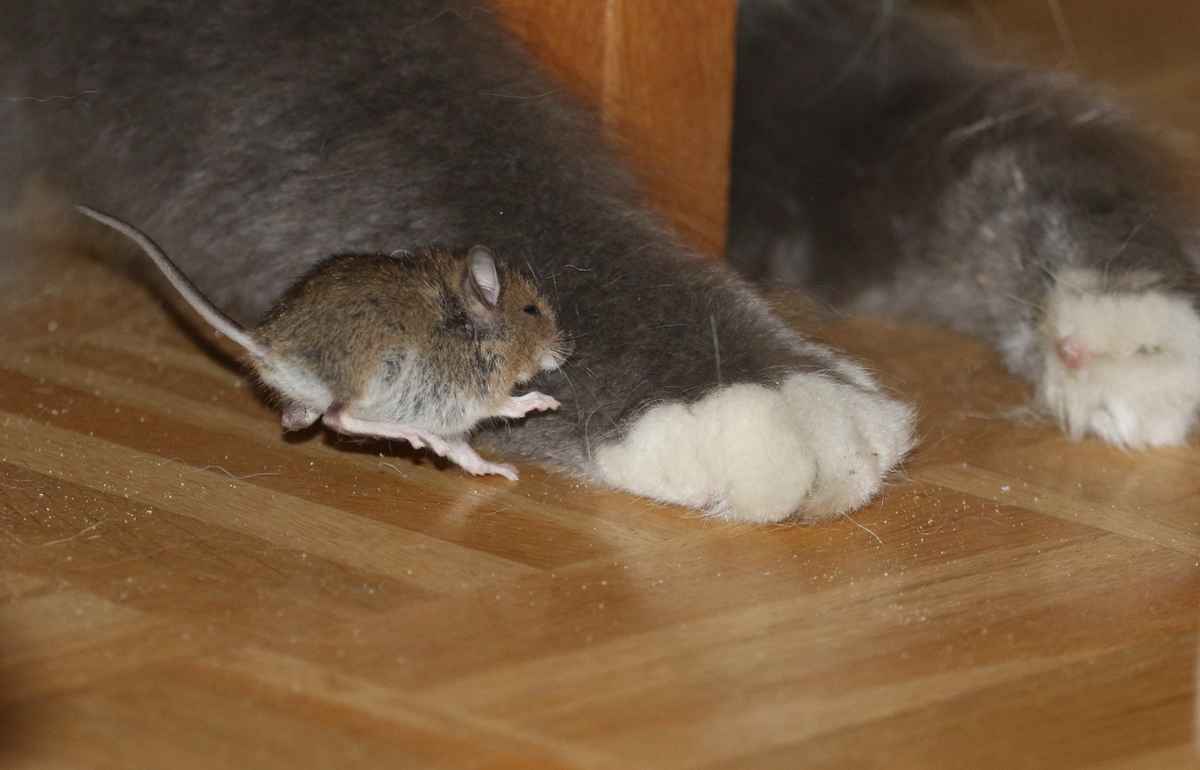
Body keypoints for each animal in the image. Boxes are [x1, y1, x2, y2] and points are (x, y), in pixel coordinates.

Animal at [76, 205, 569, 480]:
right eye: (532, 311)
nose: (565, 352)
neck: (470, 325)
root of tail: (266, 343)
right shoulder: (471, 393)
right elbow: (507, 405)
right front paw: (544, 402)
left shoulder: (454, 415)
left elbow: (467, 451)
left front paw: (500, 470)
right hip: (373, 372)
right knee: (339, 417)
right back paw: (416, 436)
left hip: (319, 399)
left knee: (300, 420)